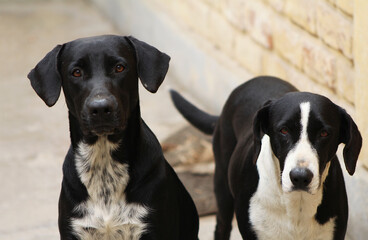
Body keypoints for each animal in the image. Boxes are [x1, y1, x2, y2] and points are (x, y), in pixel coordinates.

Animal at [172, 76, 362, 240]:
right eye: (283, 130)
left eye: (324, 133)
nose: (300, 177)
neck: (296, 203)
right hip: (222, 186)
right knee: (222, 226)